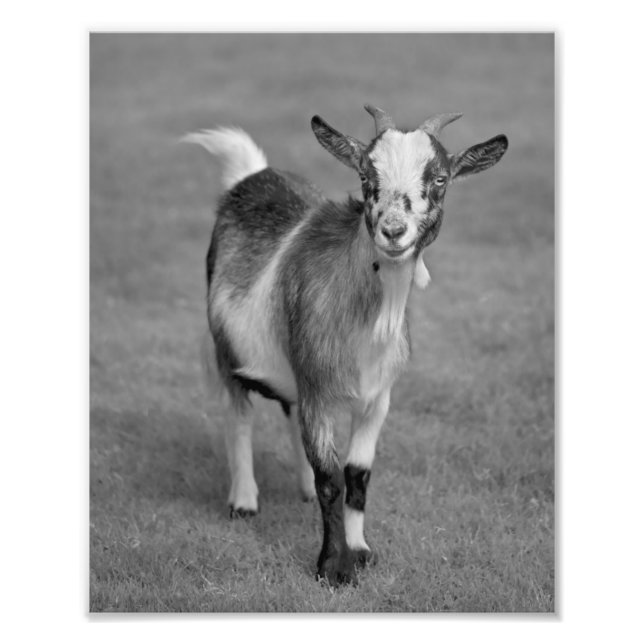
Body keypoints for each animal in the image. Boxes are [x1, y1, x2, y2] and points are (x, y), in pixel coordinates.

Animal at [185, 105, 508, 586]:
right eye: (364, 175)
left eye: (440, 178)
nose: (393, 230)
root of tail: (252, 174)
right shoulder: (319, 389)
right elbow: (331, 479)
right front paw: (332, 569)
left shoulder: (377, 397)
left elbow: (356, 476)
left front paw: (361, 550)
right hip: (228, 351)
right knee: (238, 413)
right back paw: (243, 501)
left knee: (289, 414)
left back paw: (298, 489)